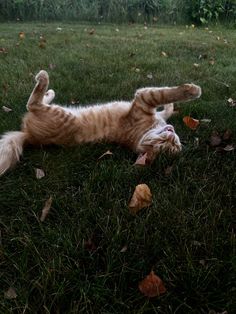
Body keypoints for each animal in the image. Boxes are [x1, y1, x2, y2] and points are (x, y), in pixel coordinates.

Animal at [0, 69, 201, 175]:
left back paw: (44, 81)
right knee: (34, 102)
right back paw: (49, 89)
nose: (171, 133)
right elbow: (166, 103)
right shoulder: (147, 102)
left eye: (171, 145)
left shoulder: (144, 99)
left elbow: (164, 95)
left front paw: (191, 91)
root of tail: (28, 136)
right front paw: (182, 97)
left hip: (59, 114)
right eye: (165, 142)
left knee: (32, 103)